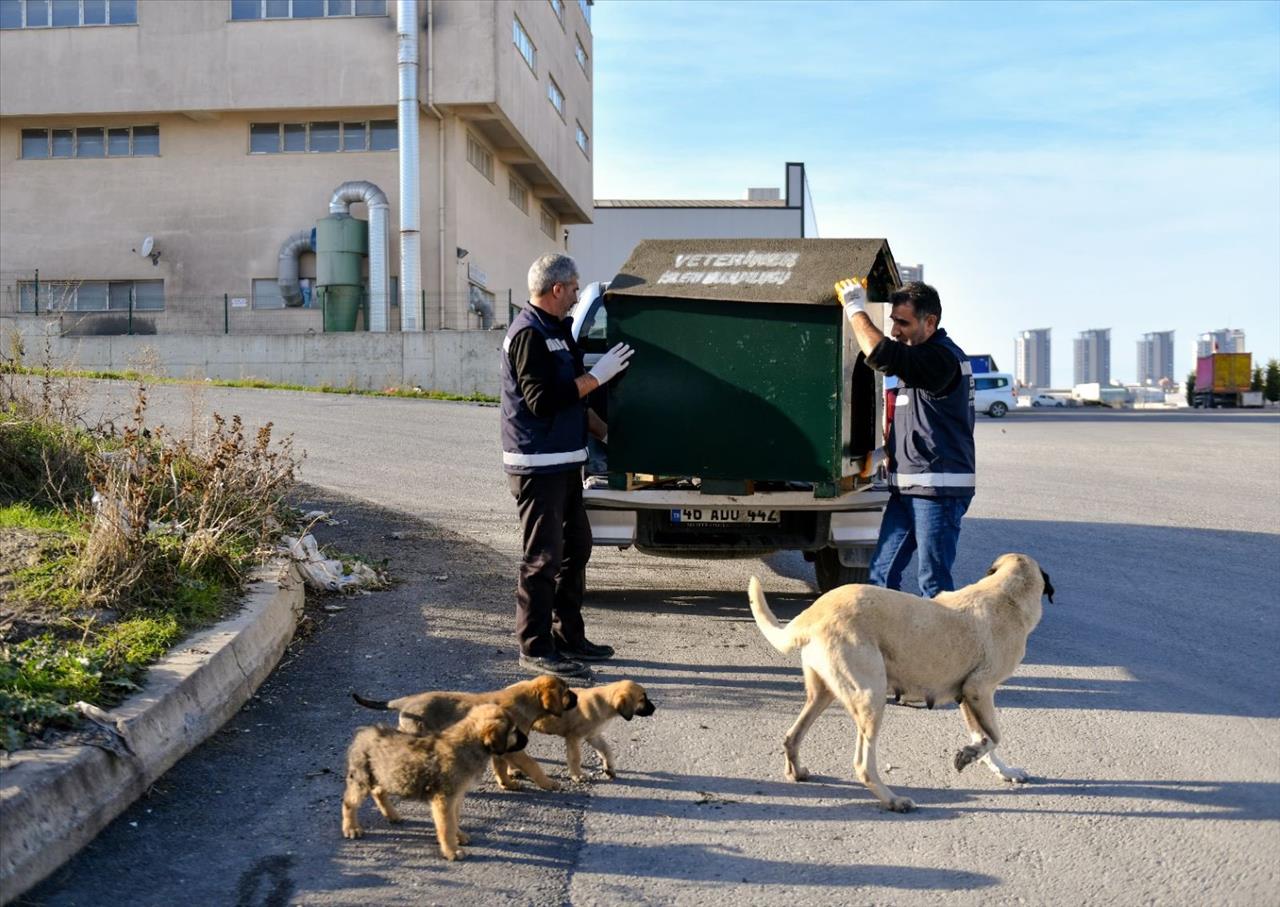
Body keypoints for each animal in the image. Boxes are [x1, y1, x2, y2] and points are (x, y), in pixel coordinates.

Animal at [340, 706, 524, 859]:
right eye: (514, 730)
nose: (527, 740)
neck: (467, 744)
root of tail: (363, 733)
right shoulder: (444, 799)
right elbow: (446, 826)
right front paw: (452, 850)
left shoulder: (456, 797)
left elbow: (454, 820)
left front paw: (458, 836)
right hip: (361, 778)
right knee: (349, 802)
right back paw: (351, 828)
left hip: (386, 774)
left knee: (378, 792)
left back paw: (392, 815)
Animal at [345, 675, 576, 788]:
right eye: (566, 692)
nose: (576, 697)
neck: (526, 698)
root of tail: (406, 702)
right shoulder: (511, 745)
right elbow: (532, 764)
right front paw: (548, 784)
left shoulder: (502, 746)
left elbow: (502, 767)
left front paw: (509, 780)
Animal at [527, 680, 655, 777]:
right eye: (642, 699)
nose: (654, 709)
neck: (605, 702)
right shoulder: (574, 737)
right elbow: (575, 758)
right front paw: (578, 776)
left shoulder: (593, 735)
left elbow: (606, 750)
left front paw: (609, 767)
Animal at [747, 552, 1054, 813]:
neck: (1005, 592)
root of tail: (813, 614)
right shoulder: (980, 690)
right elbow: (994, 737)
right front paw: (970, 755)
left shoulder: (967, 697)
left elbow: (984, 738)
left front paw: (999, 768)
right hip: (871, 697)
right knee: (863, 764)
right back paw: (893, 800)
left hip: (823, 694)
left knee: (792, 736)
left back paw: (796, 771)